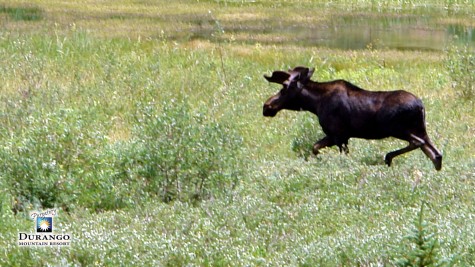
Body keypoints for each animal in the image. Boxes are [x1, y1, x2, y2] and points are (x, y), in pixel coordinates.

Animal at [264, 67, 442, 172]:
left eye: (284, 87)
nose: (266, 106)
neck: (315, 104)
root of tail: (421, 106)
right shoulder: (341, 136)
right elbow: (316, 147)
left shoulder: (338, 135)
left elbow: (324, 150)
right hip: (420, 129)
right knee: (436, 153)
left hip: (398, 129)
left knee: (420, 143)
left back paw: (388, 157)